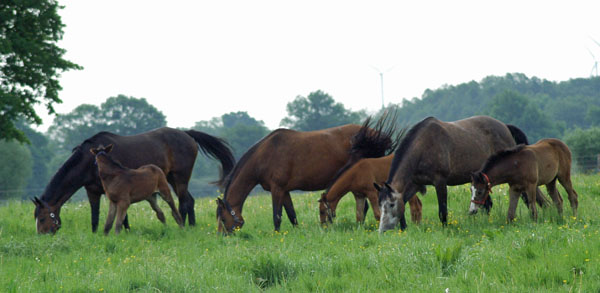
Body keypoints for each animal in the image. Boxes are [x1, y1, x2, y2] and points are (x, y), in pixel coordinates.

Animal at [32, 126, 234, 234]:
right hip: (170, 178)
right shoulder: (93, 192)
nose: (42, 235)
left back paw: (183, 226)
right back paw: (190, 226)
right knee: (190, 201)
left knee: (183, 203)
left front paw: (125, 232)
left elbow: (122, 216)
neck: (89, 161)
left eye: (42, 218)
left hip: (180, 177)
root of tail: (187, 134)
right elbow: (95, 217)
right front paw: (97, 233)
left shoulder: (117, 191)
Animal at [218, 114, 400, 233]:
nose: (222, 236)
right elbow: (291, 214)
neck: (266, 155)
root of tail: (375, 134)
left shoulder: (277, 189)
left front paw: (277, 234)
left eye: (222, 218)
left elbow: (277, 216)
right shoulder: (284, 191)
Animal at [378, 115, 552, 232]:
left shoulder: (440, 182)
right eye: (380, 205)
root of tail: (505, 126)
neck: (423, 146)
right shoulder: (416, 183)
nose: (383, 229)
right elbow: (404, 201)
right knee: (489, 205)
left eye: (391, 204)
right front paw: (404, 229)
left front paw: (445, 230)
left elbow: (442, 211)